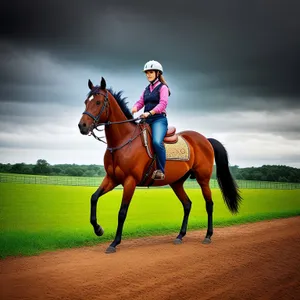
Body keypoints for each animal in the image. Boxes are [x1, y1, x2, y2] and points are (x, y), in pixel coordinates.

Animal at [77, 77, 241, 253]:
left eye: (98, 102)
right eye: (86, 101)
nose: (82, 126)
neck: (123, 141)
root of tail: (205, 140)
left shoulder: (130, 181)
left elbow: (122, 212)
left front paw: (114, 243)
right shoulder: (112, 179)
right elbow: (93, 198)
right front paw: (98, 229)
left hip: (203, 179)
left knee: (209, 204)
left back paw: (208, 236)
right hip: (177, 183)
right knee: (187, 204)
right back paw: (180, 236)